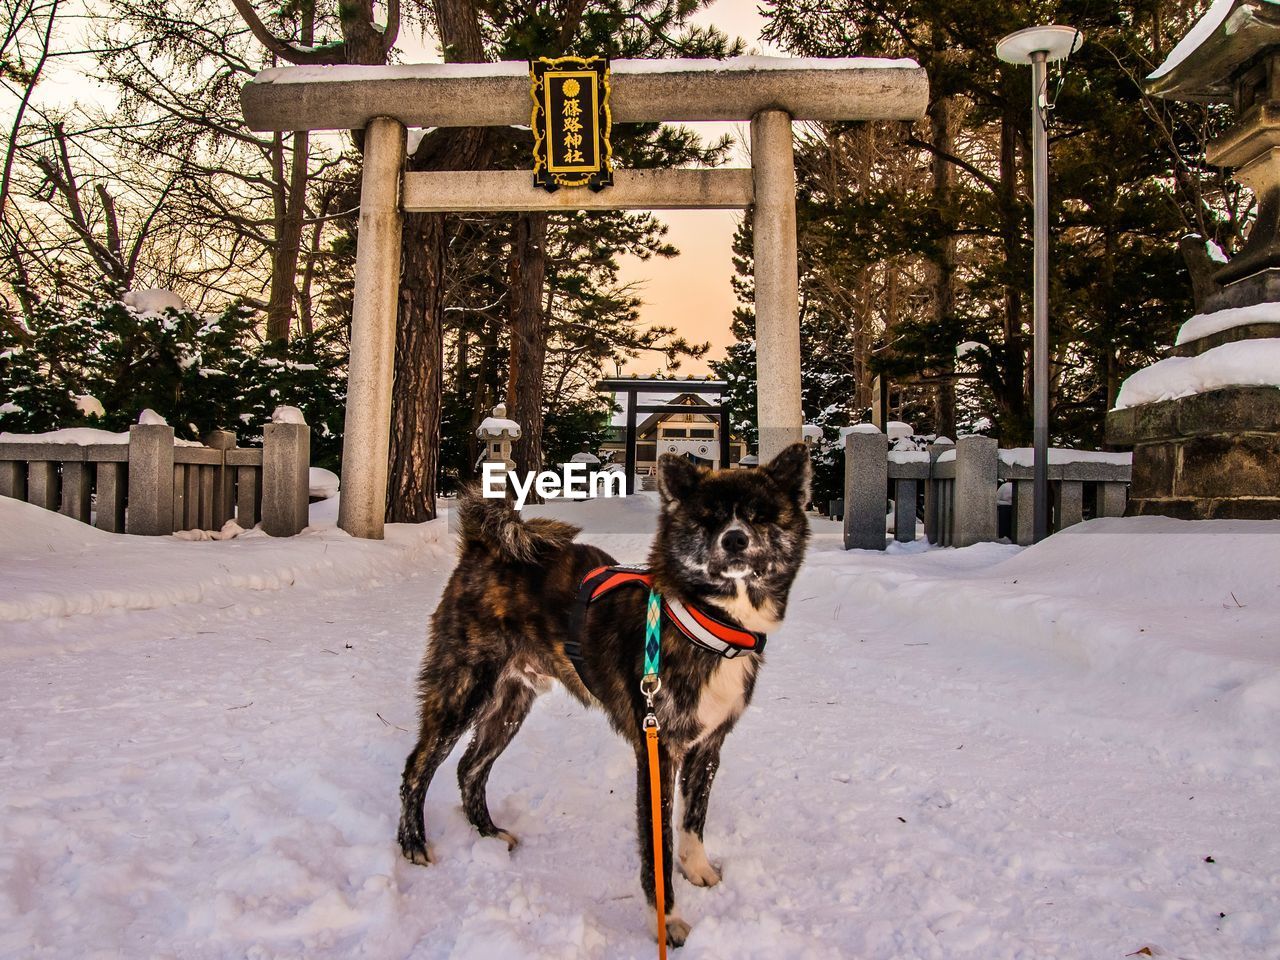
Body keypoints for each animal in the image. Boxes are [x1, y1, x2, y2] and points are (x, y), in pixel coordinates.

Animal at [394, 445, 808, 947]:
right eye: (708, 520)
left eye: (759, 516)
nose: (734, 540)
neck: (707, 624)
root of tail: (484, 547)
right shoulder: (657, 750)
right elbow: (658, 846)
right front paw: (667, 921)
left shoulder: (707, 746)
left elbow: (693, 820)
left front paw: (698, 868)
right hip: (463, 687)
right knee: (418, 768)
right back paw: (414, 844)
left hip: (511, 703)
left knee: (470, 767)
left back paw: (488, 833)